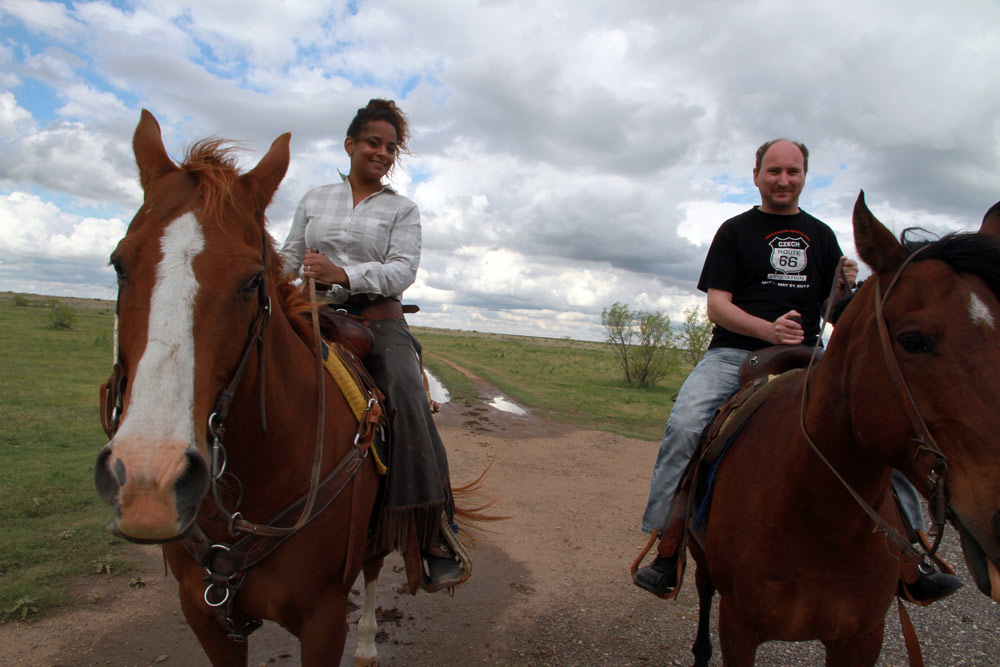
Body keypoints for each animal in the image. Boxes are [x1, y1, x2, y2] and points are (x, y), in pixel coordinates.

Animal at [94, 110, 425, 666]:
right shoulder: (204, 613)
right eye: (119, 264)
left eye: (252, 281)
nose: (147, 480)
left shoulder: (324, 620)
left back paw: (368, 646)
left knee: (375, 568)